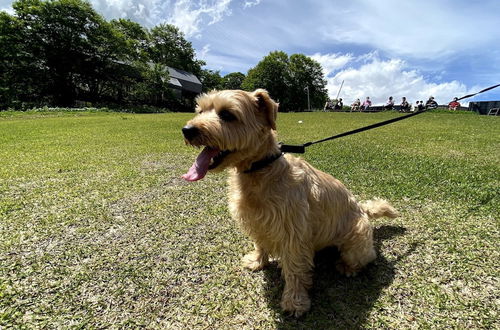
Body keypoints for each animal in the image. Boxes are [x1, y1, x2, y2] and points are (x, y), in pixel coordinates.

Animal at [182, 89, 396, 316]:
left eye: (227, 114)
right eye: (200, 110)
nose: (187, 130)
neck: (261, 169)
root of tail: (362, 208)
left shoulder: (293, 234)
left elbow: (294, 270)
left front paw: (295, 301)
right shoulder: (257, 221)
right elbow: (260, 243)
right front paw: (258, 260)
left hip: (356, 245)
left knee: (364, 257)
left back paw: (347, 267)